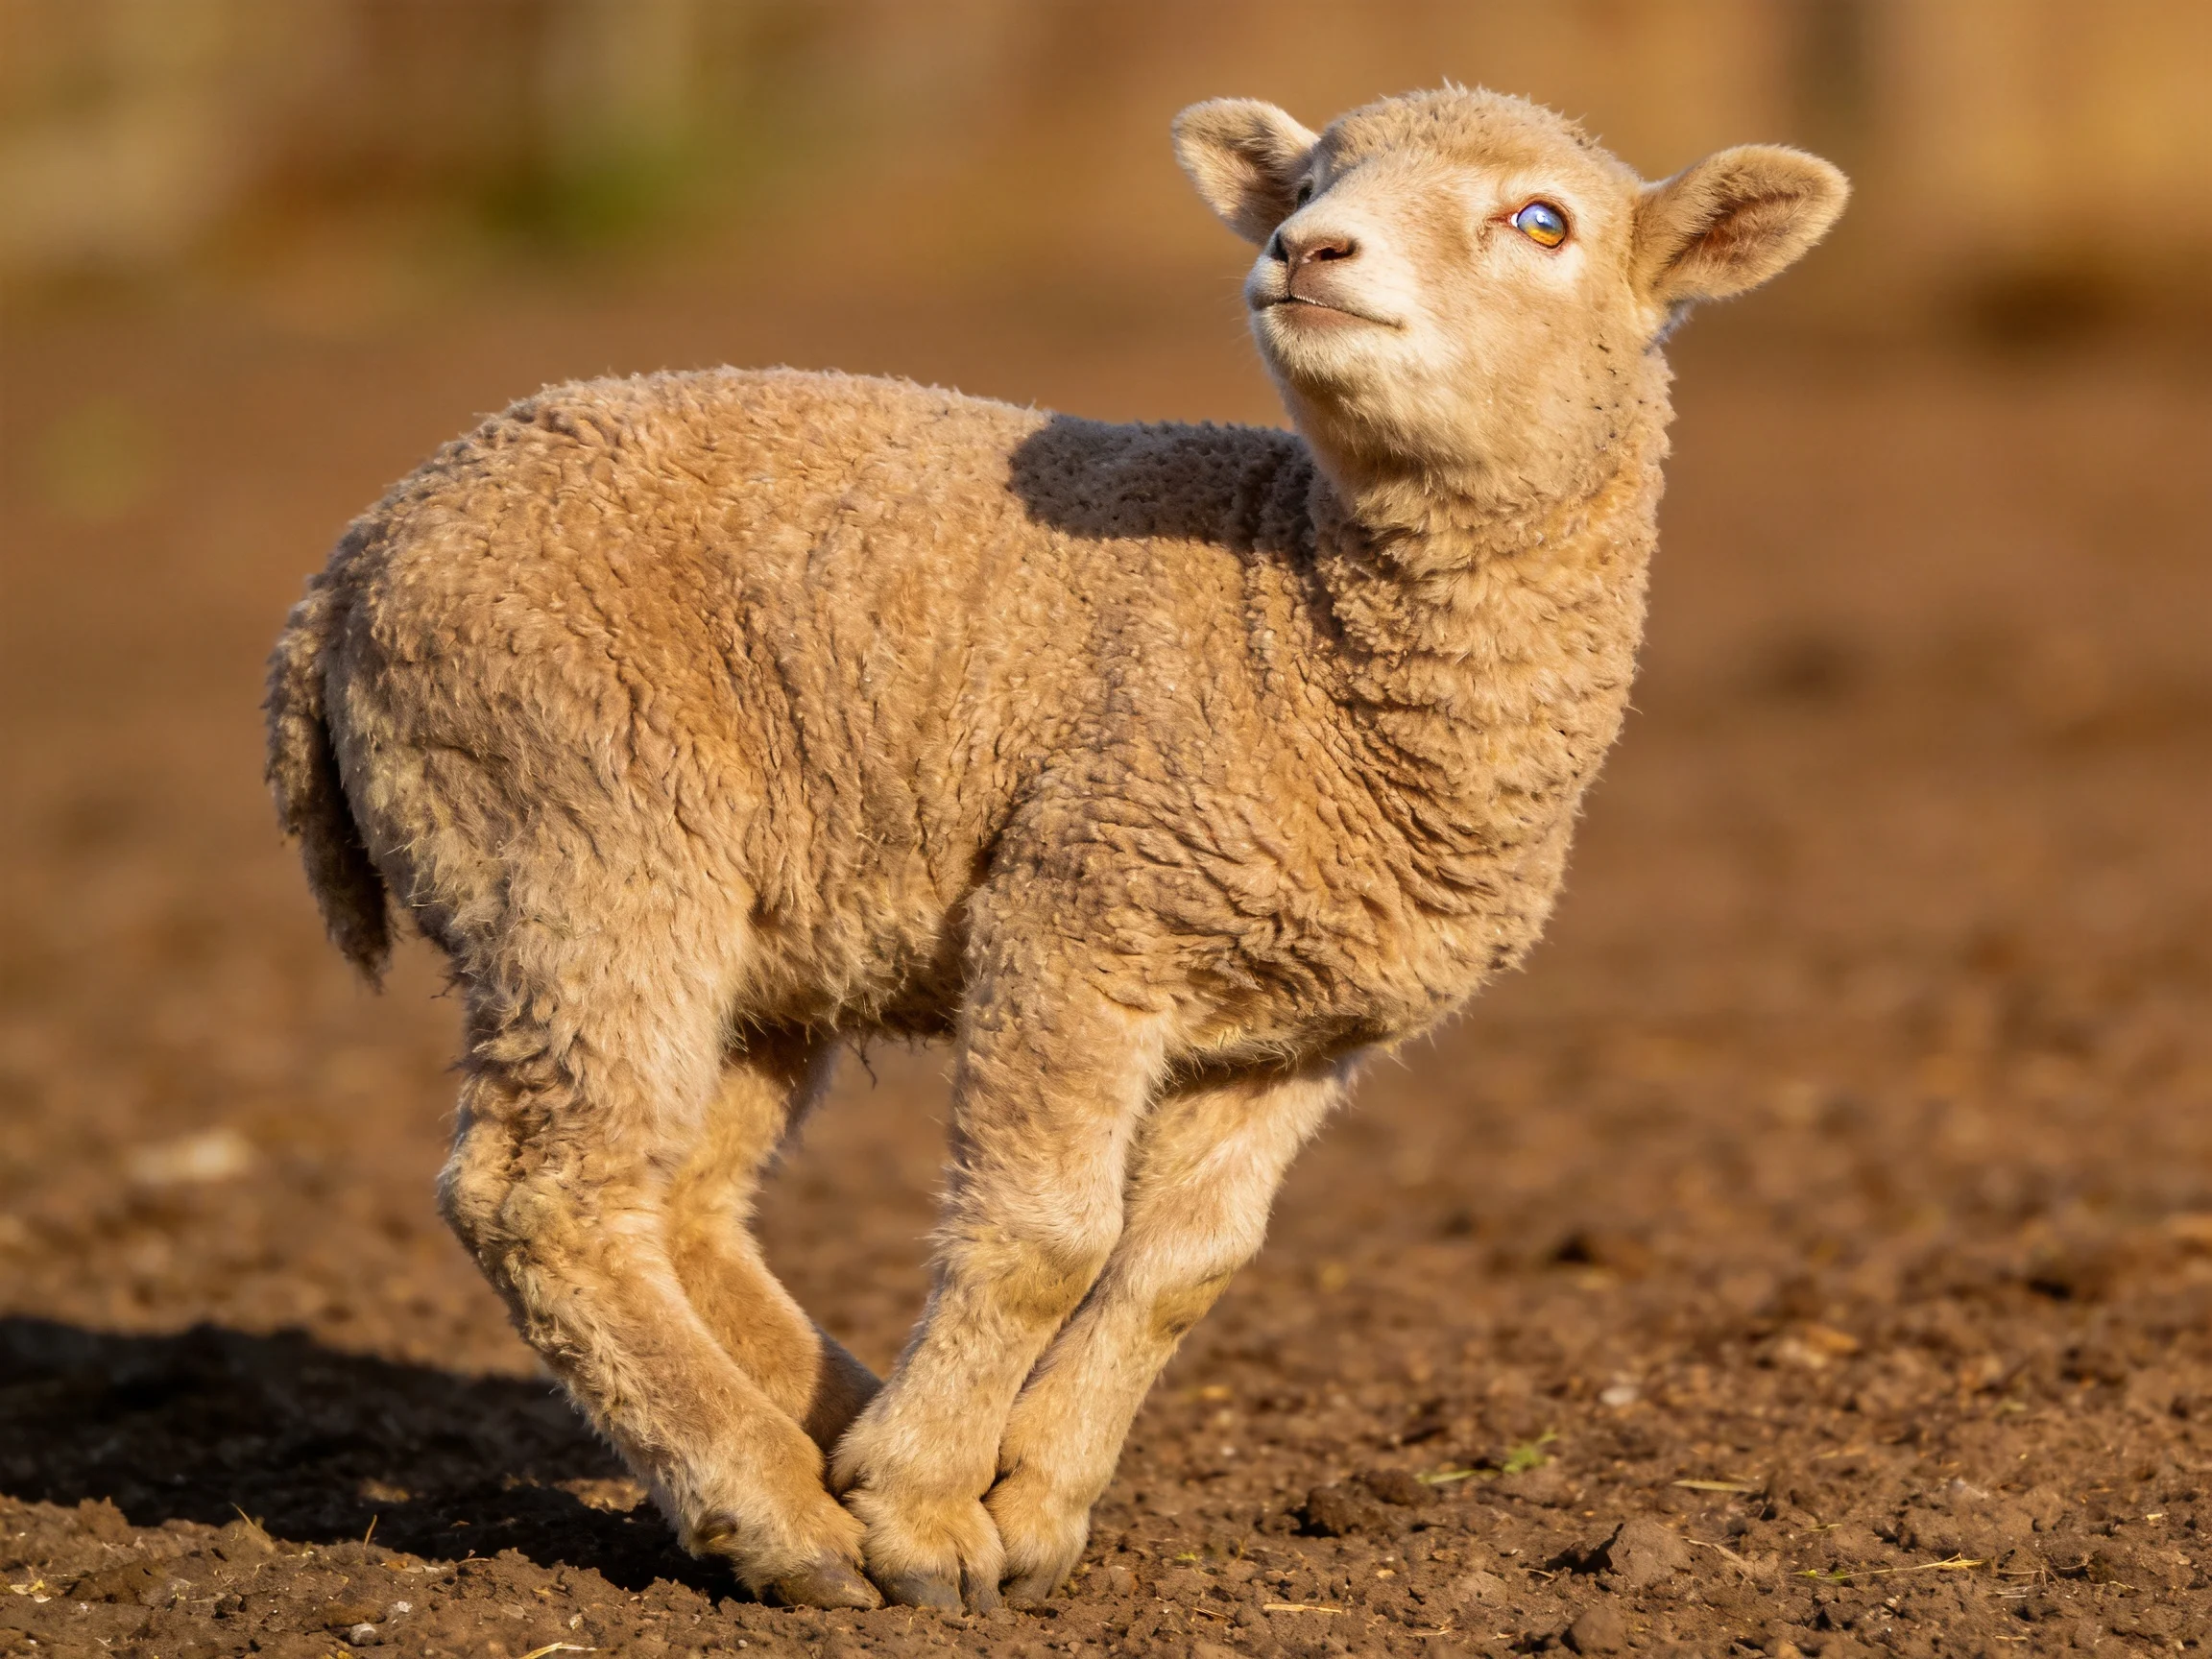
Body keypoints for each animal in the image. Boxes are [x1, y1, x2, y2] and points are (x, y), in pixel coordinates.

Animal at [265, 86, 1845, 1612]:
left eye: (1541, 221)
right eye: (1310, 179)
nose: (1308, 249)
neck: (1296, 625)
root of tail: (349, 563)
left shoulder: (1292, 1028)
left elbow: (1182, 1269)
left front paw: (1029, 1503)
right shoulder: (1083, 915)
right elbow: (1046, 1239)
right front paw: (924, 1513)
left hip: (736, 922)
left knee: (687, 1197)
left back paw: (821, 1434)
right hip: (578, 827)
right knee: (547, 1196)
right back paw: (783, 1514)